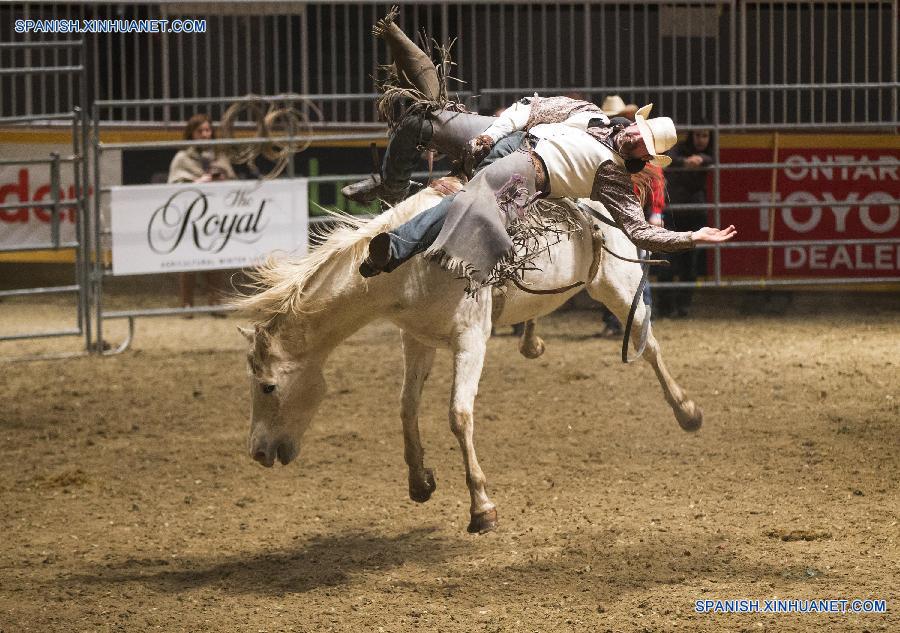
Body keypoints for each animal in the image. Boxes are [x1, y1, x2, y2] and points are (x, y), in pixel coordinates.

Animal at [234, 181, 703, 534]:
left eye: (268, 386)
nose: (257, 452)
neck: (411, 263)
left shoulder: (471, 339)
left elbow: (459, 415)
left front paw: (482, 507)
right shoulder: (416, 339)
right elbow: (407, 407)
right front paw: (419, 481)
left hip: (618, 284)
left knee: (649, 345)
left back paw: (687, 411)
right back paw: (532, 341)